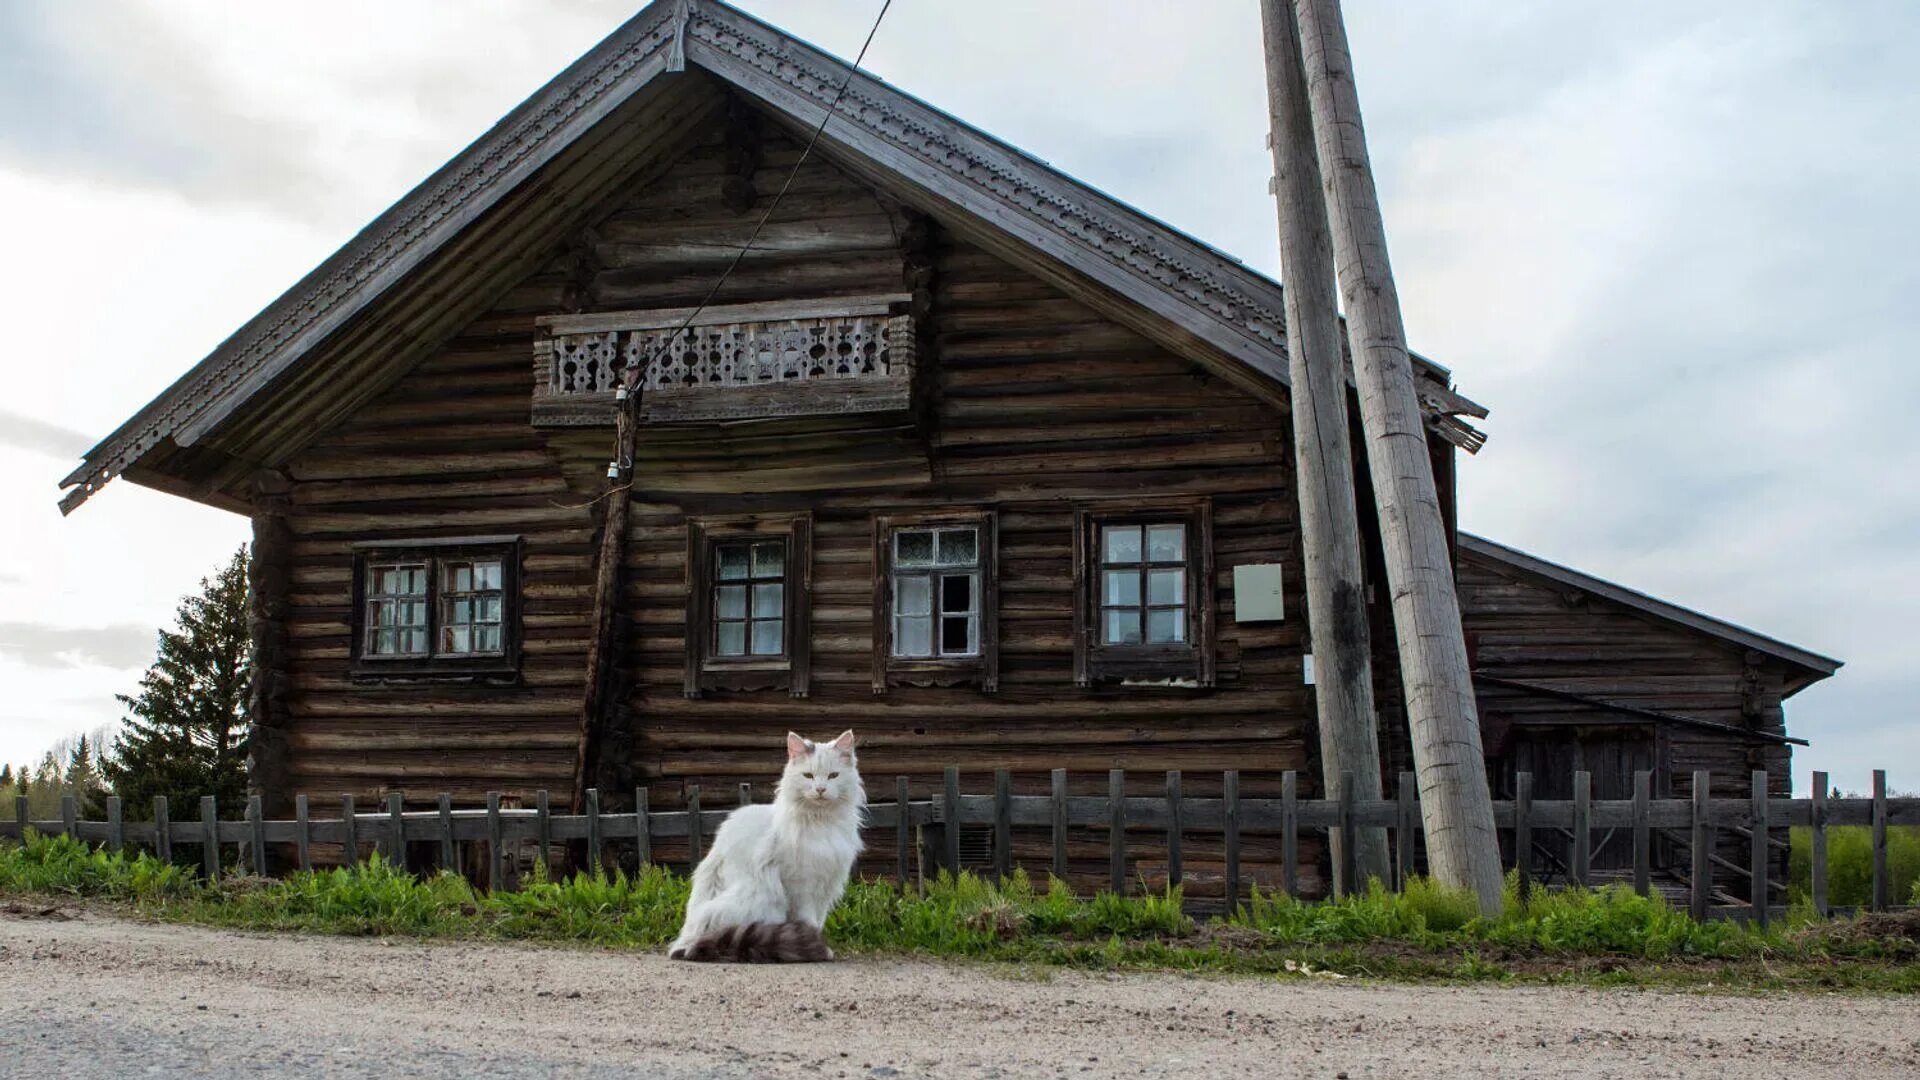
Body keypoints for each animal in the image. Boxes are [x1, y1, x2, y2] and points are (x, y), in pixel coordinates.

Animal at [668, 722, 864, 957]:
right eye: (808, 776)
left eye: (833, 775)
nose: (820, 789)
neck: (822, 822)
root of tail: (686, 941)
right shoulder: (802, 887)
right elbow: (809, 921)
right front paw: (818, 948)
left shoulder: (827, 886)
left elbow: (819, 921)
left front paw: (817, 945)